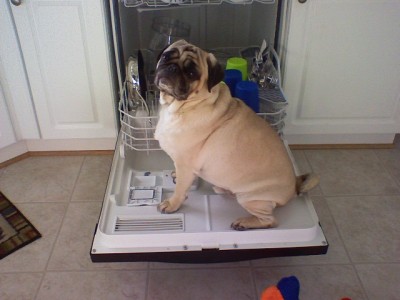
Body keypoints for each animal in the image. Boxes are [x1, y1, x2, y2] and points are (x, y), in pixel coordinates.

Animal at [153, 39, 318, 231]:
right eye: (166, 56)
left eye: (192, 73)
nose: (172, 68)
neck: (183, 105)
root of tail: (294, 185)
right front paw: (175, 175)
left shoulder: (185, 165)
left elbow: (180, 190)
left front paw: (172, 204)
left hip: (250, 199)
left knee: (270, 220)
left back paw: (244, 223)